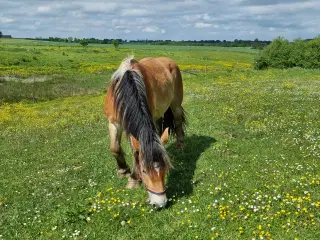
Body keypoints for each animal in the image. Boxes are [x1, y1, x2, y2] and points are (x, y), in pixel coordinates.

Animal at [104, 56, 186, 208]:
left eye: (165, 170)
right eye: (144, 171)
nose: (160, 203)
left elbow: (135, 153)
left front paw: (133, 179)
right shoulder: (113, 122)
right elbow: (115, 148)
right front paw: (124, 171)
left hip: (175, 105)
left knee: (177, 122)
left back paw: (180, 145)